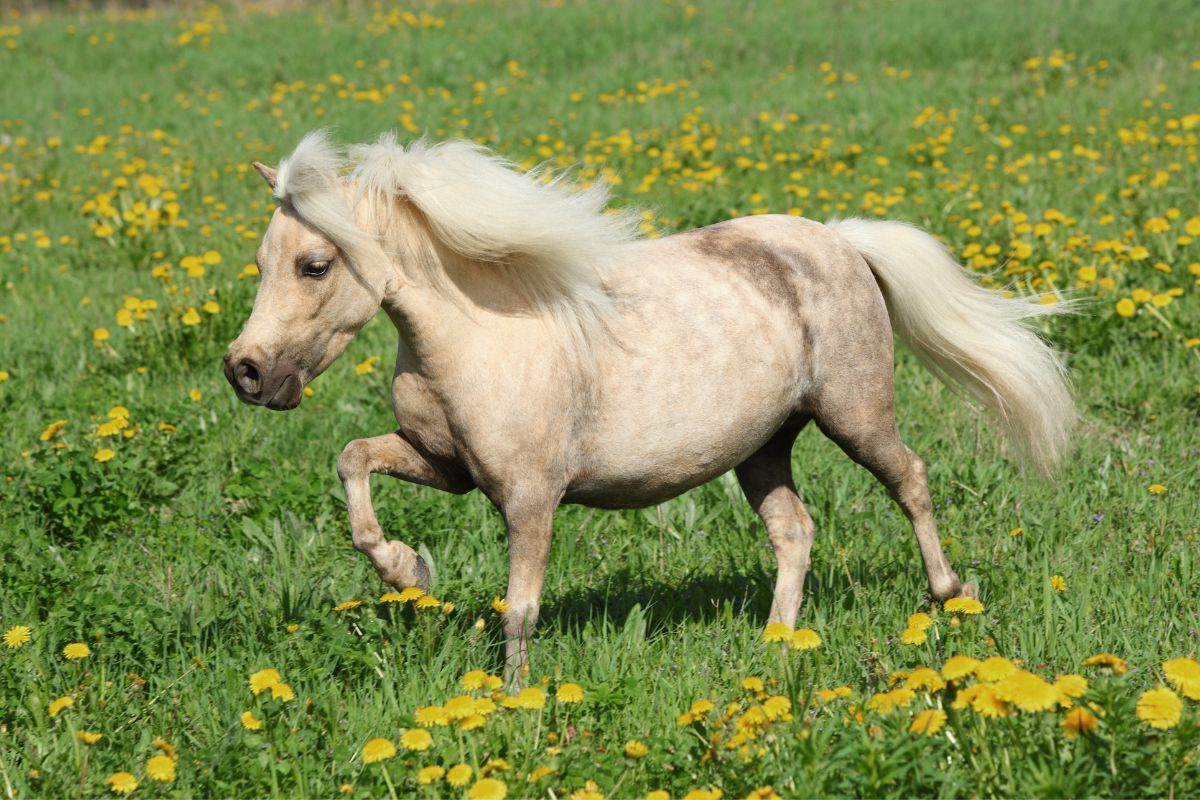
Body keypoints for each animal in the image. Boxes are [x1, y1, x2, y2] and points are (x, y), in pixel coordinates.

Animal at [225, 133, 1080, 690]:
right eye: (263, 262)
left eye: (315, 264)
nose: (246, 372)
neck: (482, 331)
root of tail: (839, 241)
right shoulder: (445, 466)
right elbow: (353, 460)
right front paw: (407, 570)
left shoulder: (530, 497)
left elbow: (520, 608)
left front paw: (514, 703)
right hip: (763, 448)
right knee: (795, 531)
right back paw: (775, 642)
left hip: (855, 413)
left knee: (910, 479)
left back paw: (949, 595)